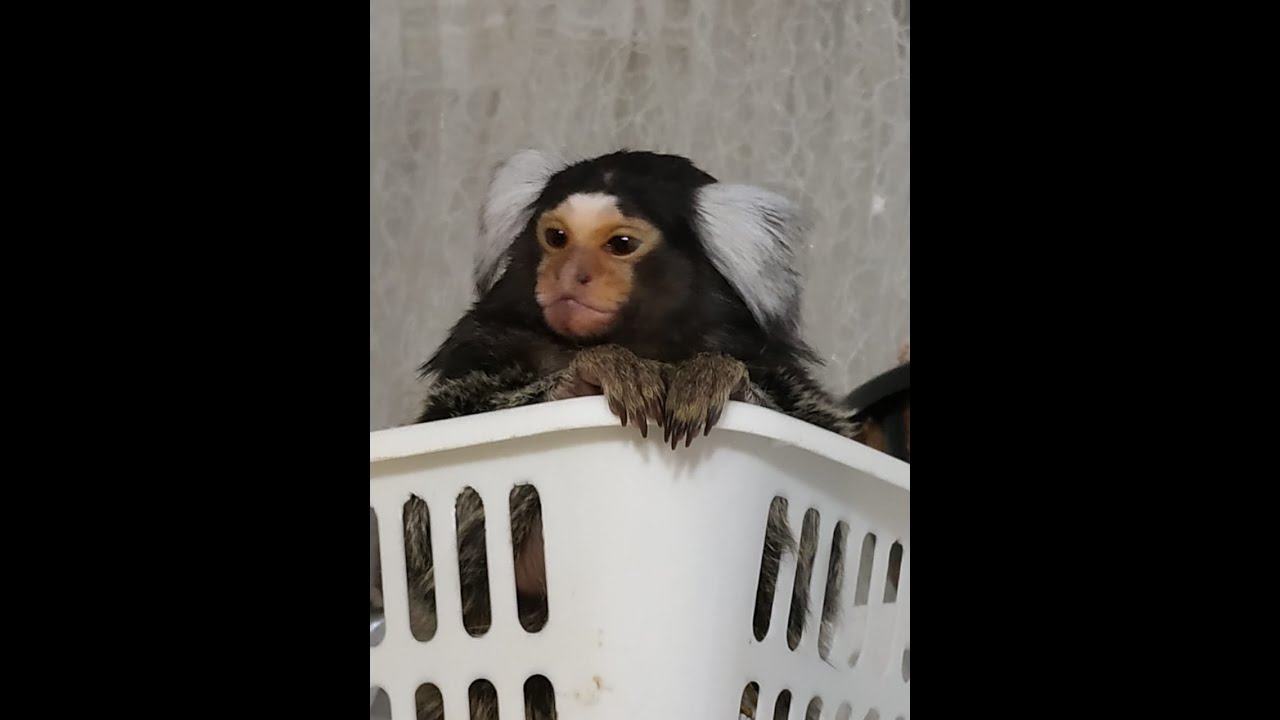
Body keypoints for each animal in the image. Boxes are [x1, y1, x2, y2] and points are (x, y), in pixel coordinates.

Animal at [392, 149, 864, 720]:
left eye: (620, 244)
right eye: (556, 237)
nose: (571, 275)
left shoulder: (782, 378)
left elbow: (818, 551)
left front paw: (719, 380)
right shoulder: (477, 361)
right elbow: (431, 539)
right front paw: (587, 375)